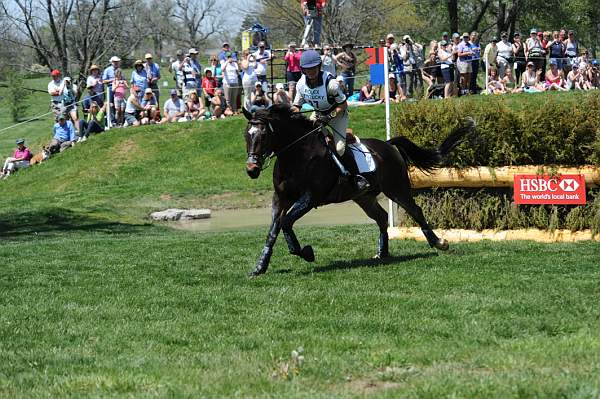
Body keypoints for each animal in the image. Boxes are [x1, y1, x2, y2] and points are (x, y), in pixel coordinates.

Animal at [243, 104, 474, 276]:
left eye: (263, 136)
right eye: (247, 135)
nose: (252, 170)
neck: (296, 155)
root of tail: (388, 145)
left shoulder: (310, 198)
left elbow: (285, 222)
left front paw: (306, 253)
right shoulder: (280, 198)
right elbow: (273, 230)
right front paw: (260, 266)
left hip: (396, 189)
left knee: (415, 211)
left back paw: (439, 243)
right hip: (364, 197)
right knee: (381, 217)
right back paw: (382, 253)